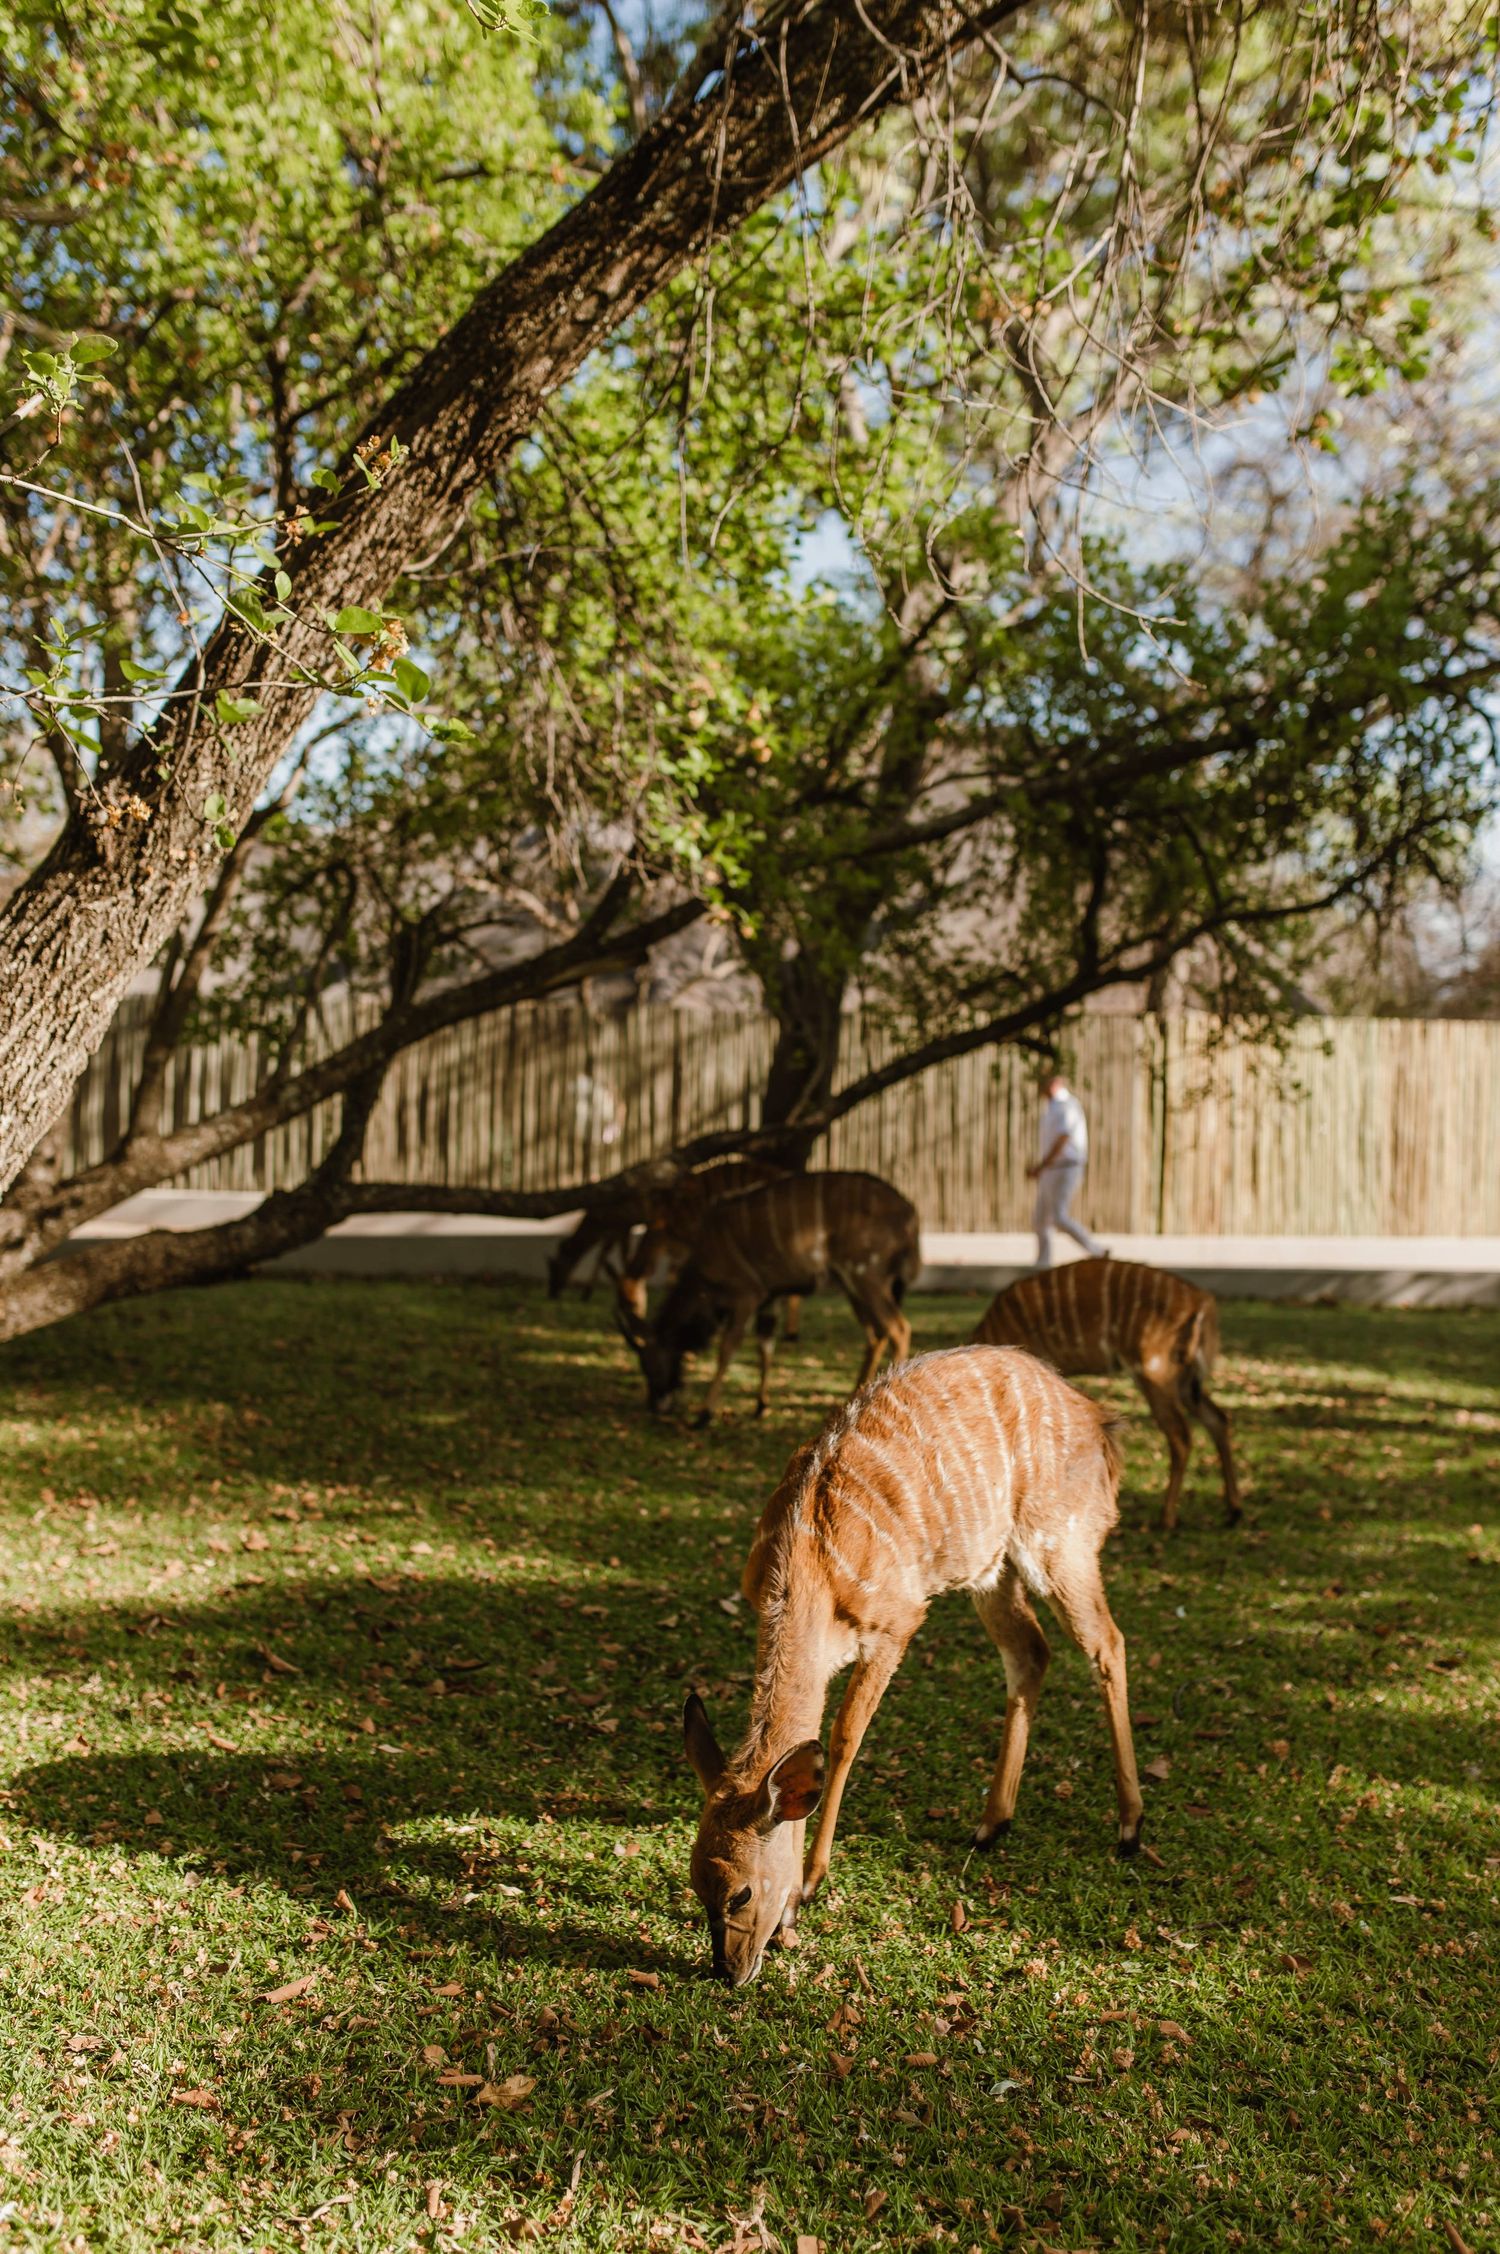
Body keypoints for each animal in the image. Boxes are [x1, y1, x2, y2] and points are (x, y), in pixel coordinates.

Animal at [617, 1170, 919, 1422]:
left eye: (650, 1364)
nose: (656, 1405)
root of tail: (910, 1213)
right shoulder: (769, 1298)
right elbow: (765, 1345)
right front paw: (760, 1406)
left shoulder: (746, 1295)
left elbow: (728, 1348)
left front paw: (704, 1414)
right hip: (853, 1285)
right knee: (877, 1334)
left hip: (865, 1276)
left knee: (899, 1329)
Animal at [682, 1345, 1143, 1985]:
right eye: (696, 1886)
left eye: (741, 1893)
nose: (729, 1970)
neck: (806, 1569)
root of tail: (1102, 1424)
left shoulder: (896, 1624)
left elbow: (844, 1737)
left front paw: (809, 1885)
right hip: (992, 1568)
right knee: (1031, 1652)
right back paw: (991, 1824)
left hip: (1059, 1544)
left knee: (1107, 1643)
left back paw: (1130, 1827)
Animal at [974, 1257, 1239, 1532]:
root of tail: (1203, 1302)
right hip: (1184, 1380)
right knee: (1217, 1419)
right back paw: (1233, 1511)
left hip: (1156, 1373)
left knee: (1181, 1434)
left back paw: (1166, 1518)